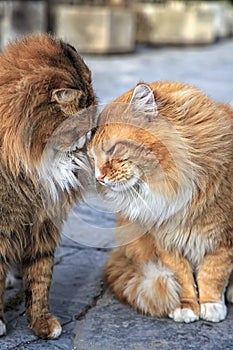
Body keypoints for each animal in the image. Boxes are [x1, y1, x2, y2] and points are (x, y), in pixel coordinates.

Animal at [88, 81, 233, 322]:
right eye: (92, 158)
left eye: (112, 149)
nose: (98, 177)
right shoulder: (166, 241)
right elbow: (182, 277)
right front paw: (186, 307)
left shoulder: (224, 238)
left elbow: (214, 273)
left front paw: (211, 304)